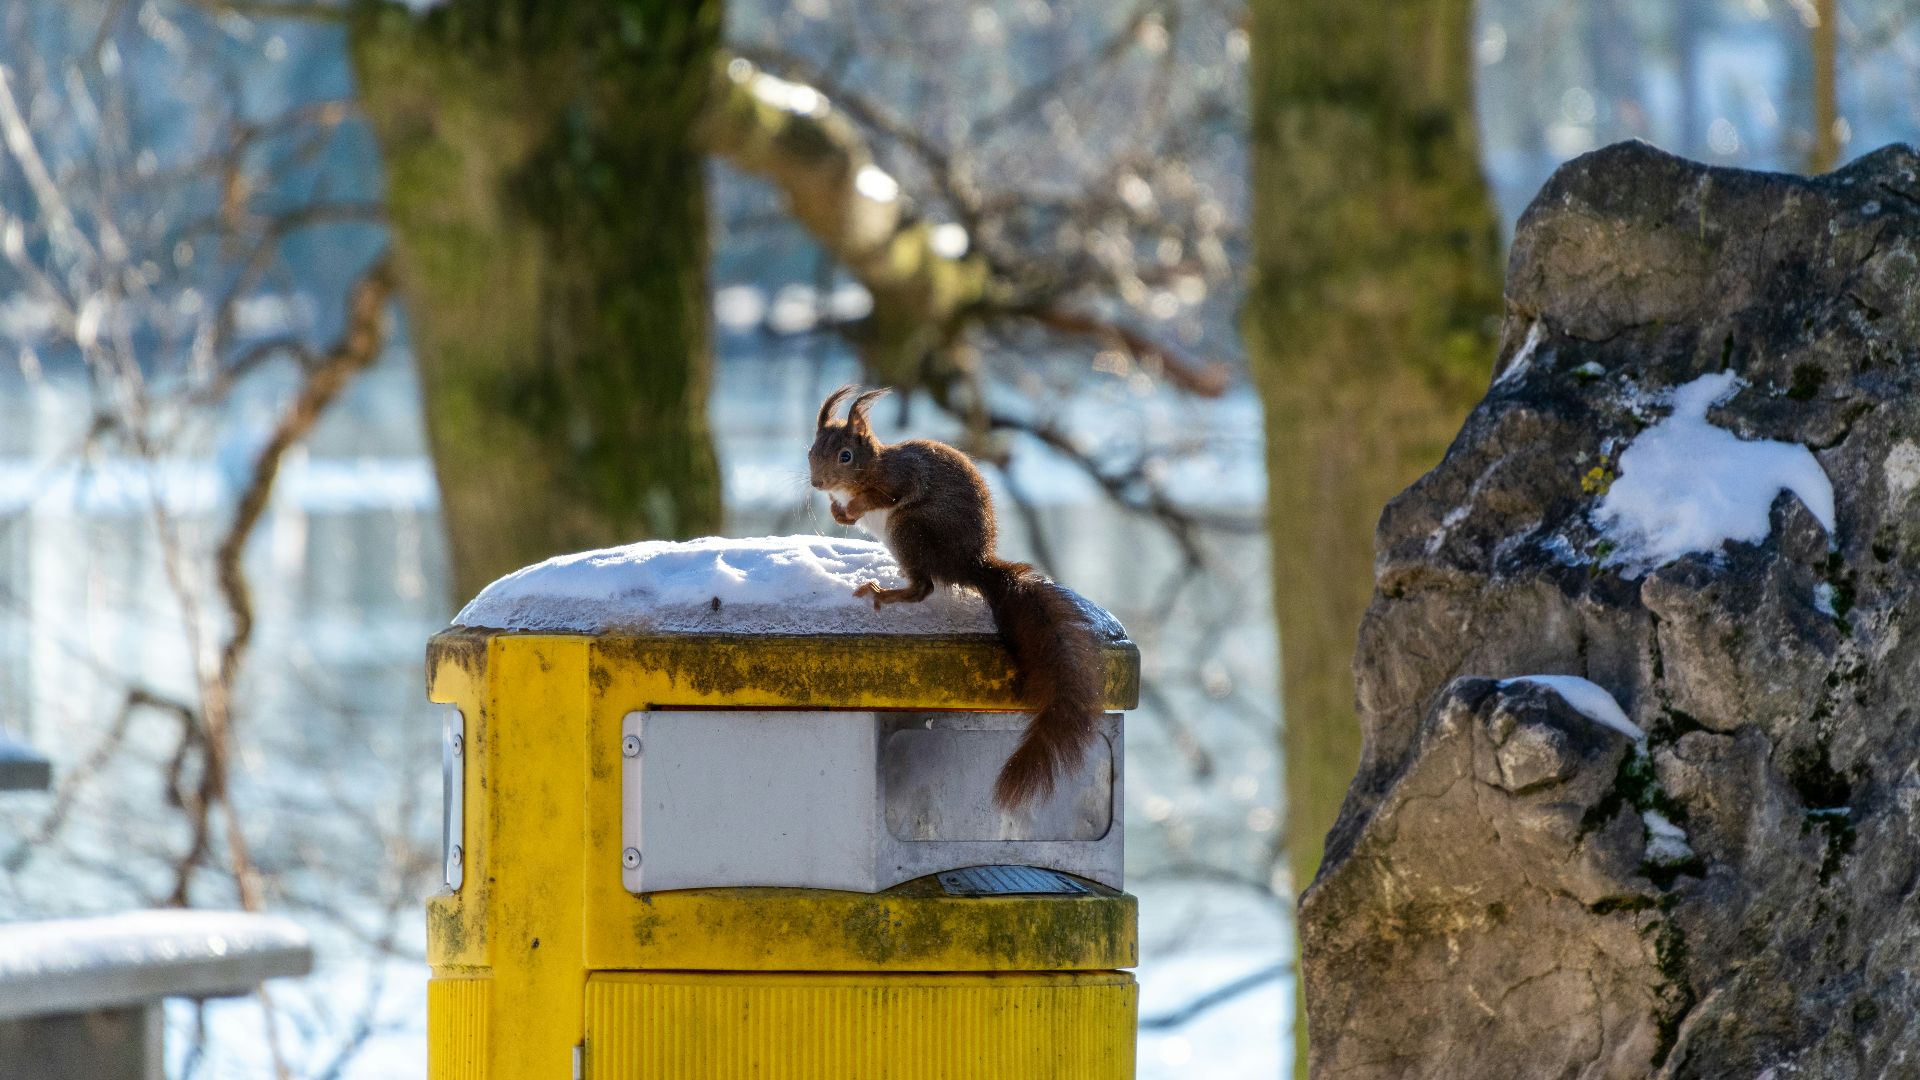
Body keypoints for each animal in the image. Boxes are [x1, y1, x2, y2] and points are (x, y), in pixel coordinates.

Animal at [808, 385, 1105, 811]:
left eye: (845, 456)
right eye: (811, 450)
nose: (817, 483)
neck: (871, 466)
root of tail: (970, 565)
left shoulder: (901, 477)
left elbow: (888, 495)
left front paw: (856, 505)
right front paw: (839, 511)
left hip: (910, 529)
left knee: (924, 587)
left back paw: (883, 593)